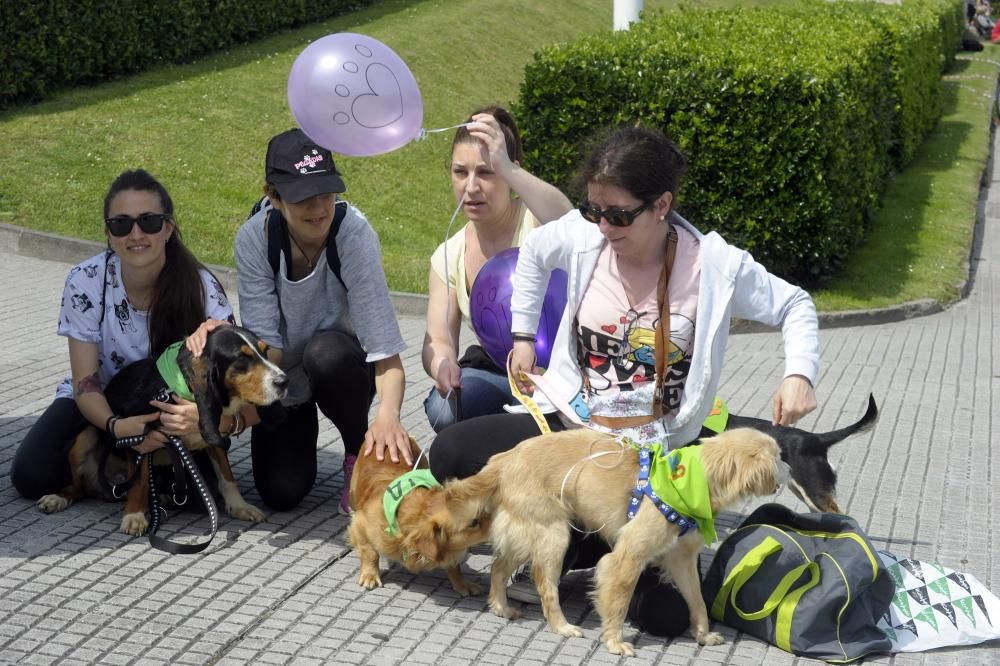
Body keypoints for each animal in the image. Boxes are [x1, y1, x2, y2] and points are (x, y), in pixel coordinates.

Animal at [37, 326, 288, 536]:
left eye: (265, 351)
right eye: (242, 358)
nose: (284, 381)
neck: (180, 390)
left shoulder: (214, 436)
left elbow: (226, 475)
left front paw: (239, 506)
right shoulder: (139, 436)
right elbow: (139, 482)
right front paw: (134, 517)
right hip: (84, 438)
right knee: (78, 487)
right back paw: (58, 498)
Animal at [348, 438, 492, 592]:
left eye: (484, 511)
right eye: (474, 522)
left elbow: (454, 565)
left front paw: (462, 584)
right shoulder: (359, 523)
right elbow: (369, 552)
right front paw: (370, 575)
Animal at [444, 426, 788, 652]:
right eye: (778, 457)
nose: (789, 467)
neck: (690, 483)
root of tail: (503, 459)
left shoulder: (681, 560)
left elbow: (697, 600)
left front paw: (702, 635)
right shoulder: (626, 558)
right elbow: (619, 602)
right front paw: (614, 641)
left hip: (527, 532)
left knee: (499, 568)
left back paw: (501, 607)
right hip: (555, 534)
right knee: (545, 586)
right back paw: (561, 626)